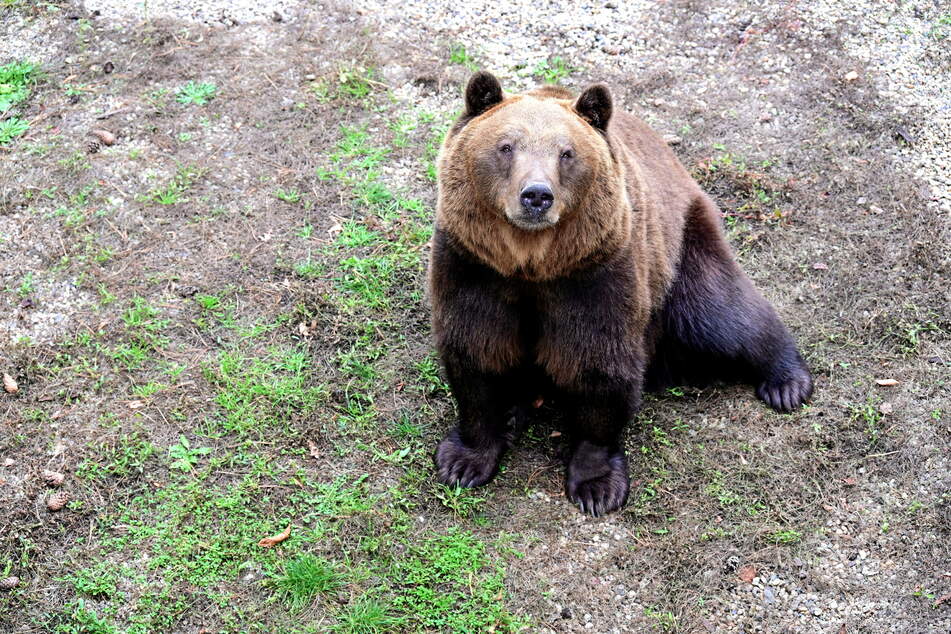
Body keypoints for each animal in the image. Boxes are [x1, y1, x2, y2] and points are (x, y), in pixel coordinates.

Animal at [430, 73, 812, 512]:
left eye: (567, 153)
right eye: (506, 146)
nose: (536, 195)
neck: (532, 263)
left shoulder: (595, 275)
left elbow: (599, 366)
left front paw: (596, 486)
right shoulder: (473, 266)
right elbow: (477, 351)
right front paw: (464, 461)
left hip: (680, 251)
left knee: (720, 315)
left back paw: (786, 382)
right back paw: (515, 411)